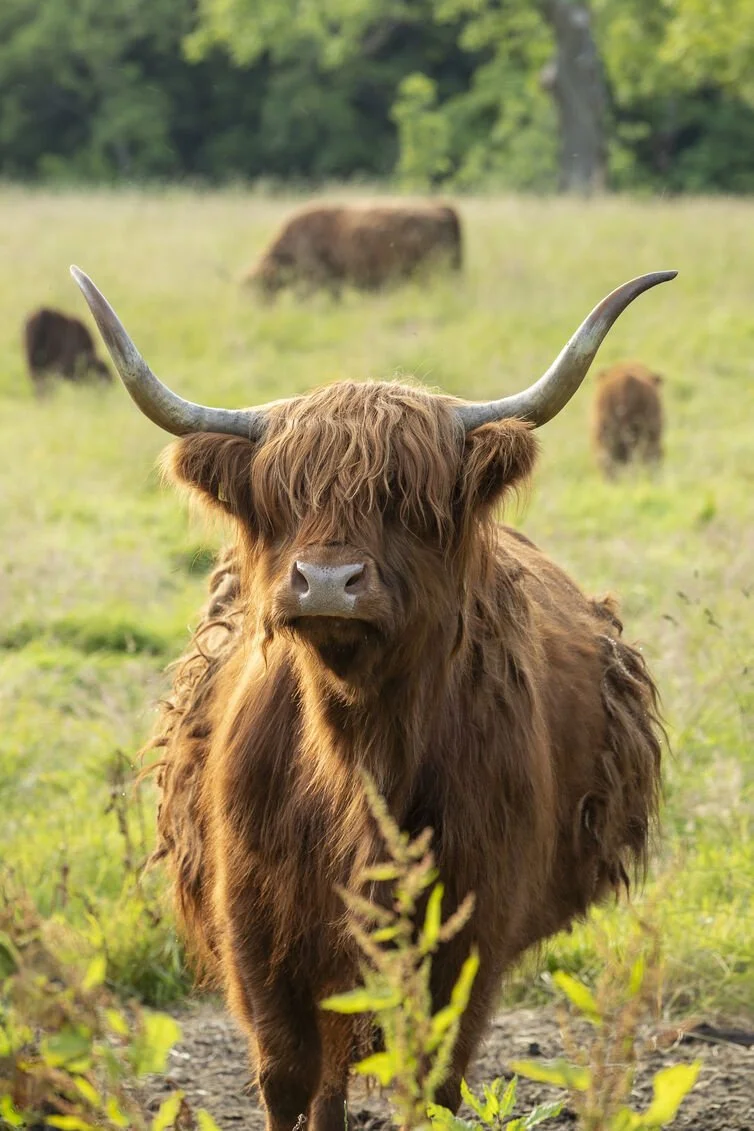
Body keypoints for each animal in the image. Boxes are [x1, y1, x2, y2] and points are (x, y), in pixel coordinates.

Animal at [70, 265, 674, 1131]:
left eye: (408, 502)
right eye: (284, 499)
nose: (327, 580)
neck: (358, 755)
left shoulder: (471, 924)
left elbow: (432, 1073)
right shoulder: (254, 919)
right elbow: (285, 1072)